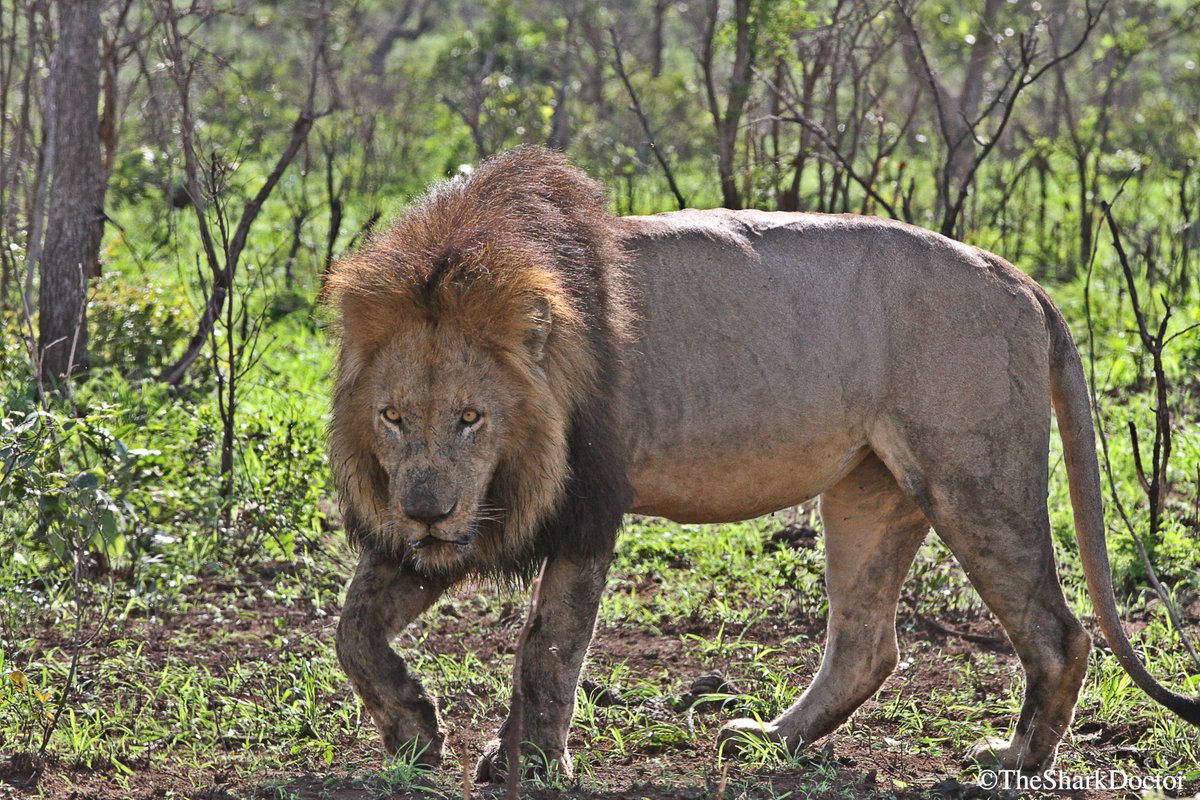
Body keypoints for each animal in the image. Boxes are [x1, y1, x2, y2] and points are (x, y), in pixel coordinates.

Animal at [322, 147, 1200, 782]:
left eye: (471, 419)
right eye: (392, 418)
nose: (426, 511)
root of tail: (1018, 276)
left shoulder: (585, 505)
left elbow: (549, 646)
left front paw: (526, 765)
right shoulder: (450, 518)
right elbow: (354, 628)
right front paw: (414, 730)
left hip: (973, 479)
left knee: (1057, 631)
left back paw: (1013, 759)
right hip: (873, 489)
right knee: (867, 643)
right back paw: (769, 739)